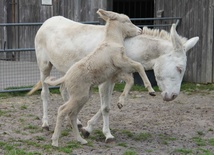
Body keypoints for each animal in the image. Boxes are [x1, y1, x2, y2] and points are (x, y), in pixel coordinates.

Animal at [44, 9, 154, 146]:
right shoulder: (121, 62)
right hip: (78, 95)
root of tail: (66, 77)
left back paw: (81, 139)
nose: (140, 30)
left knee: (72, 114)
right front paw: (151, 90)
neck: (112, 41)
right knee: (62, 110)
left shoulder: (118, 71)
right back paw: (55, 141)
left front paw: (120, 103)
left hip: (83, 96)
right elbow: (139, 66)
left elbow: (131, 80)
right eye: (127, 21)